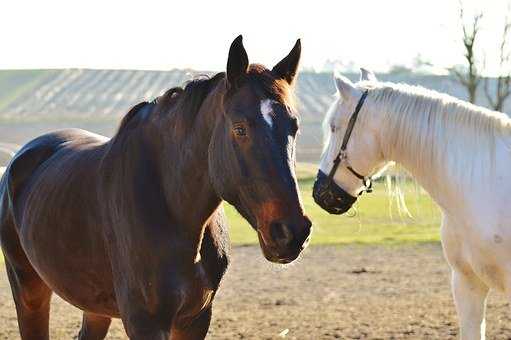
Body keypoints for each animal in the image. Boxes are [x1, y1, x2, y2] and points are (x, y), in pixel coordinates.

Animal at [0, 35, 312, 338]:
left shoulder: (195, 320)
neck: (172, 209)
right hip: (29, 290)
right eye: (239, 128)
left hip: (94, 306)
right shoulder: (145, 323)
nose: (291, 232)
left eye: (294, 127)